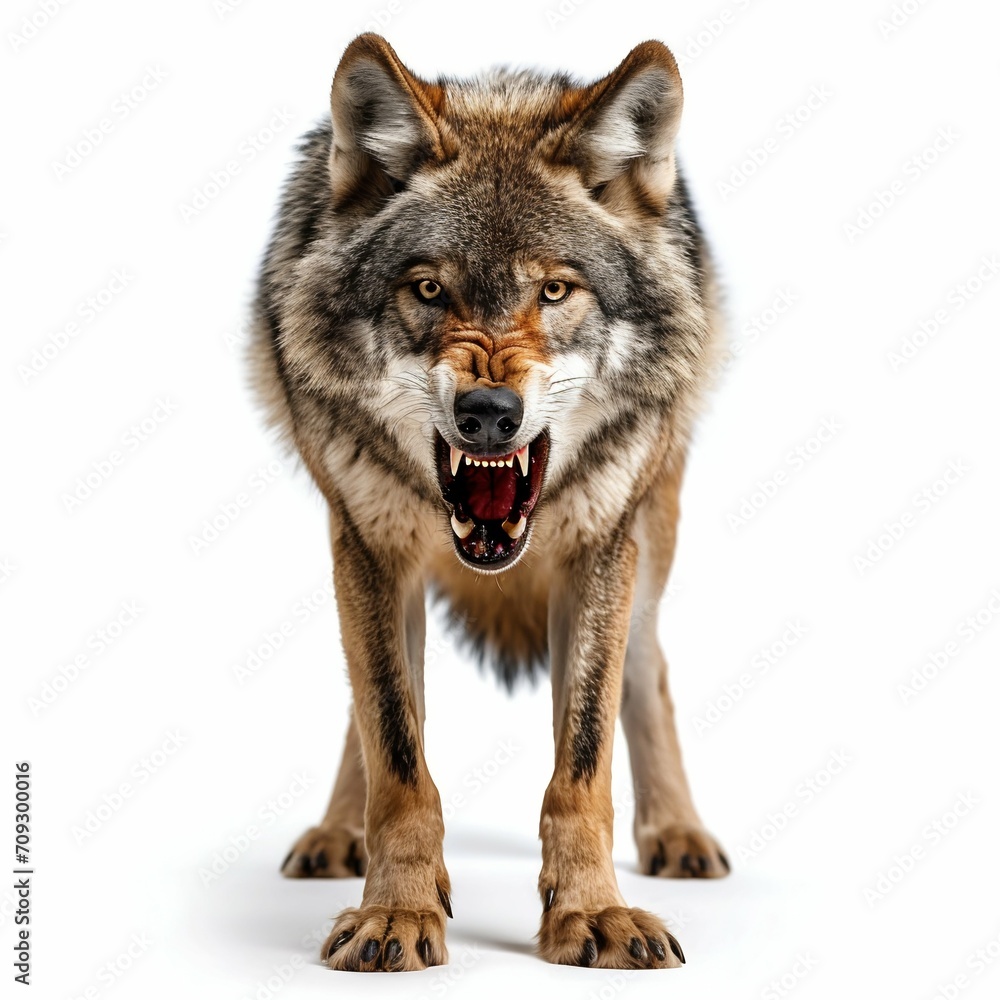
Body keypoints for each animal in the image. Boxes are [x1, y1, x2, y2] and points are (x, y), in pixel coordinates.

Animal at [249, 33, 728, 972]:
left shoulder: (599, 549)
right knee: (374, 709)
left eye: (555, 291)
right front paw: (396, 913)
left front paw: (593, 913)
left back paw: (679, 833)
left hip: (650, 535)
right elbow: (396, 749)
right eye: (429, 290)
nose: (488, 413)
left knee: (646, 669)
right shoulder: (369, 545)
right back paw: (336, 833)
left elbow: (582, 762)